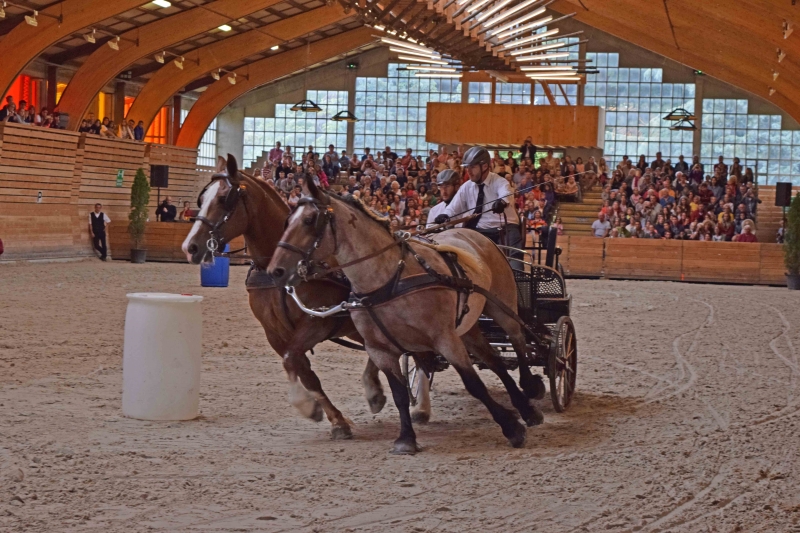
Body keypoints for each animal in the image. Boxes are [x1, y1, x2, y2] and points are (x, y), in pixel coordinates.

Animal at [184, 153, 404, 436]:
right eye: (201, 200)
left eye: (223, 199)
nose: (190, 247)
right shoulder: (274, 333)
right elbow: (303, 371)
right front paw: (332, 417)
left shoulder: (317, 323)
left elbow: (294, 361)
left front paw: (309, 407)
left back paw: (380, 392)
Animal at [268, 179, 544, 454]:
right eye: (287, 221)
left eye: (309, 220)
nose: (275, 271)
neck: (389, 280)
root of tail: (477, 235)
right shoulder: (380, 350)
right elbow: (399, 394)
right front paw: (406, 438)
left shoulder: (445, 339)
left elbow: (474, 384)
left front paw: (512, 429)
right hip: (467, 328)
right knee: (494, 360)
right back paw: (523, 405)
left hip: (501, 306)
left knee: (518, 341)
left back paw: (531, 395)